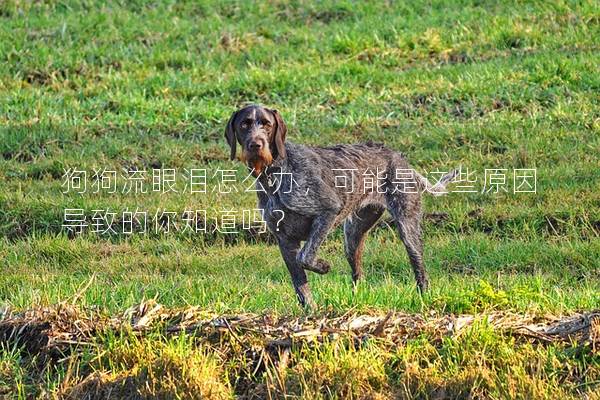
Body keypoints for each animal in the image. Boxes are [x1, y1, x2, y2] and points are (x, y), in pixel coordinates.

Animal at [225, 104, 454, 308]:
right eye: (244, 124)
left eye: (267, 124)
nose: (256, 145)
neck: (274, 175)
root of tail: (399, 157)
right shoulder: (284, 240)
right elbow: (301, 285)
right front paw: (311, 314)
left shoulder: (328, 211)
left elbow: (305, 257)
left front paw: (323, 266)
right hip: (352, 237)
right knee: (358, 275)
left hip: (407, 229)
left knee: (420, 269)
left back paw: (424, 298)